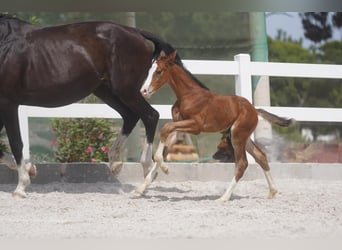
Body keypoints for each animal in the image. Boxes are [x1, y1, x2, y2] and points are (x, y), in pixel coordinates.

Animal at [0, 14, 176, 197]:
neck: (4, 42)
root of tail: (137, 32)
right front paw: (30, 169)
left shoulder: (8, 102)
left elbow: (15, 142)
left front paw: (21, 186)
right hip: (106, 90)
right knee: (131, 116)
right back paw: (116, 163)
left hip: (126, 90)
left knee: (150, 115)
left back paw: (146, 175)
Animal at [137, 50, 294, 201]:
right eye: (149, 71)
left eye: (159, 71)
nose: (143, 91)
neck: (188, 95)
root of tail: (254, 110)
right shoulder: (179, 128)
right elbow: (165, 146)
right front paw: (140, 189)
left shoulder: (195, 126)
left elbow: (165, 129)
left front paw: (165, 169)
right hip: (243, 136)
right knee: (260, 156)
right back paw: (272, 192)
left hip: (238, 136)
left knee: (242, 163)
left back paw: (224, 197)